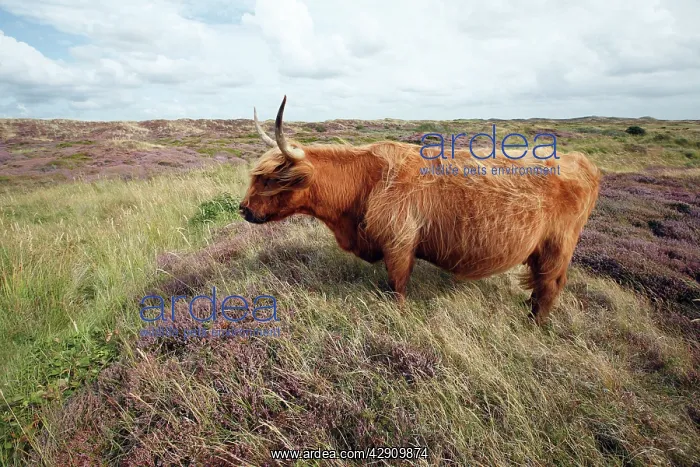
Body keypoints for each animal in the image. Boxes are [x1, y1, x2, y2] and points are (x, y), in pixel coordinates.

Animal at [239, 96, 601, 325]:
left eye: (270, 179)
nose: (243, 209)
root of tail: (582, 161)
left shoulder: (399, 244)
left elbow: (396, 287)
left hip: (557, 247)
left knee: (549, 287)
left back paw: (532, 324)